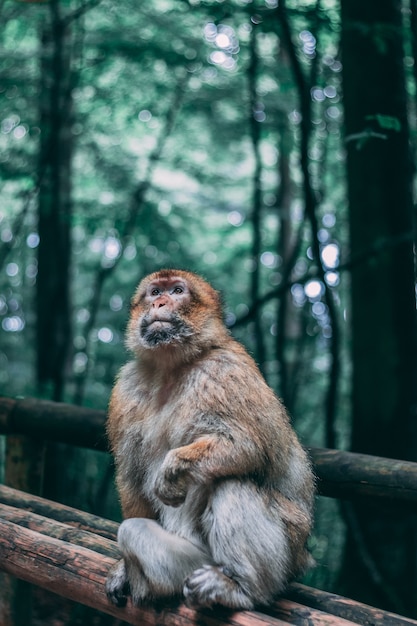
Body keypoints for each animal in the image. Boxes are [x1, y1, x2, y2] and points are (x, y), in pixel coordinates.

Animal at [105, 268, 314, 608]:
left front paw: (171, 469)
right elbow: (131, 476)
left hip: (278, 559)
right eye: (154, 292)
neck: (171, 368)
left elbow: (250, 447)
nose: (160, 303)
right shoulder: (126, 389)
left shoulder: (225, 372)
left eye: (177, 291)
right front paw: (123, 570)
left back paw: (241, 588)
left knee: (231, 483)